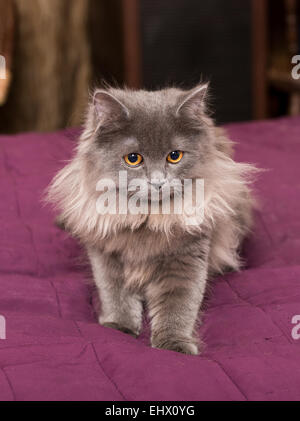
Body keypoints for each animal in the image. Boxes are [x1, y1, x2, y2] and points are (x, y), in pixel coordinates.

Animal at [47, 84, 255, 354]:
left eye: (174, 156)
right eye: (133, 158)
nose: (158, 182)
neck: (147, 219)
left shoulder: (187, 258)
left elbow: (179, 306)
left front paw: (175, 344)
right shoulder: (106, 253)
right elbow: (114, 293)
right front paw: (119, 326)